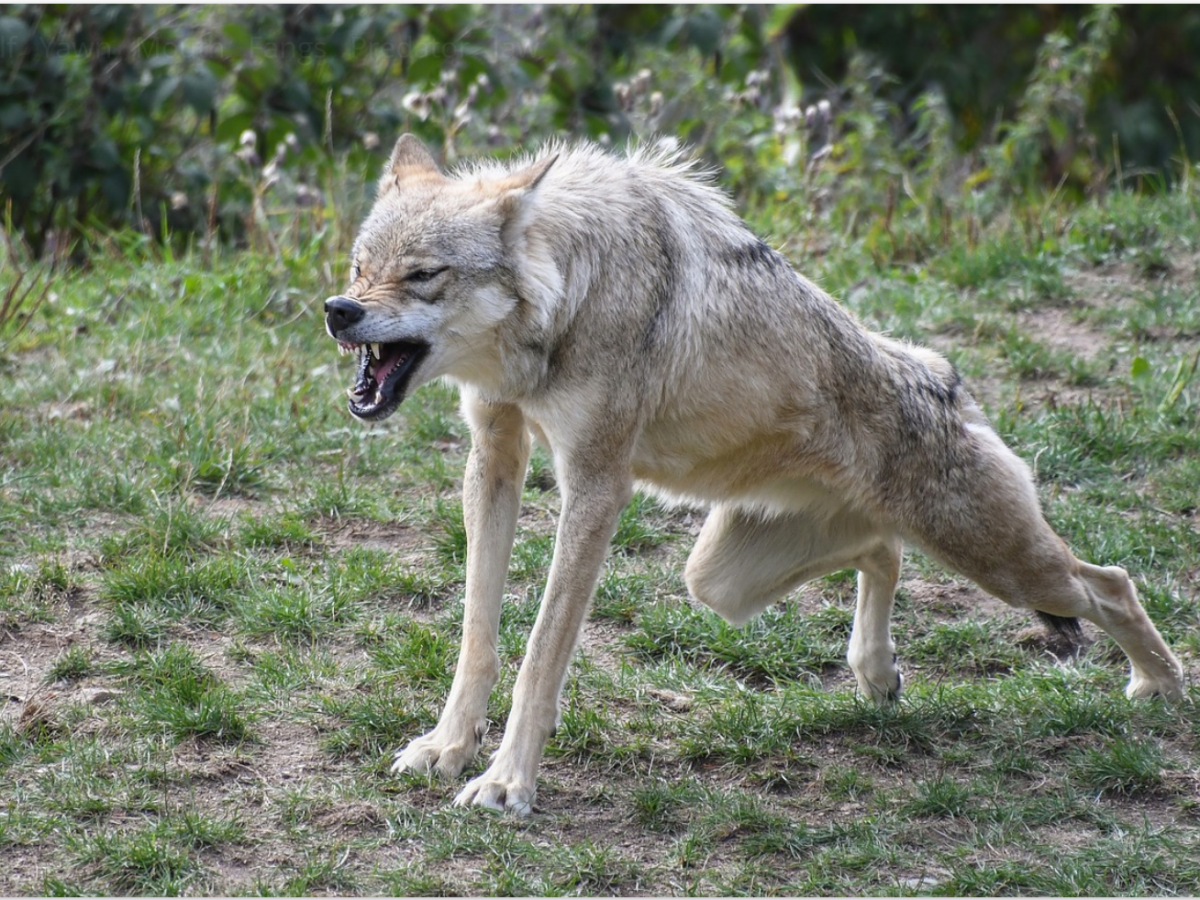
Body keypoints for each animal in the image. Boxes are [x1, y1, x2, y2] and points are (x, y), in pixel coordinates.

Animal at [323, 134, 1184, 814]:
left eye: (423, 275)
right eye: (361, 267)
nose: (338, 310)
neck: (570, 292)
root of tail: (945, 377)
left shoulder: (596, 485)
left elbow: (540, 651)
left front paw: (507, 783)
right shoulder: (494, 457)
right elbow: (479, 633)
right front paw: (447, 747)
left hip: (1003, 564)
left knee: (1110, 582)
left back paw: (1161, 689)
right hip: (721, 581)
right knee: (883, 551)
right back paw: (877, 675)